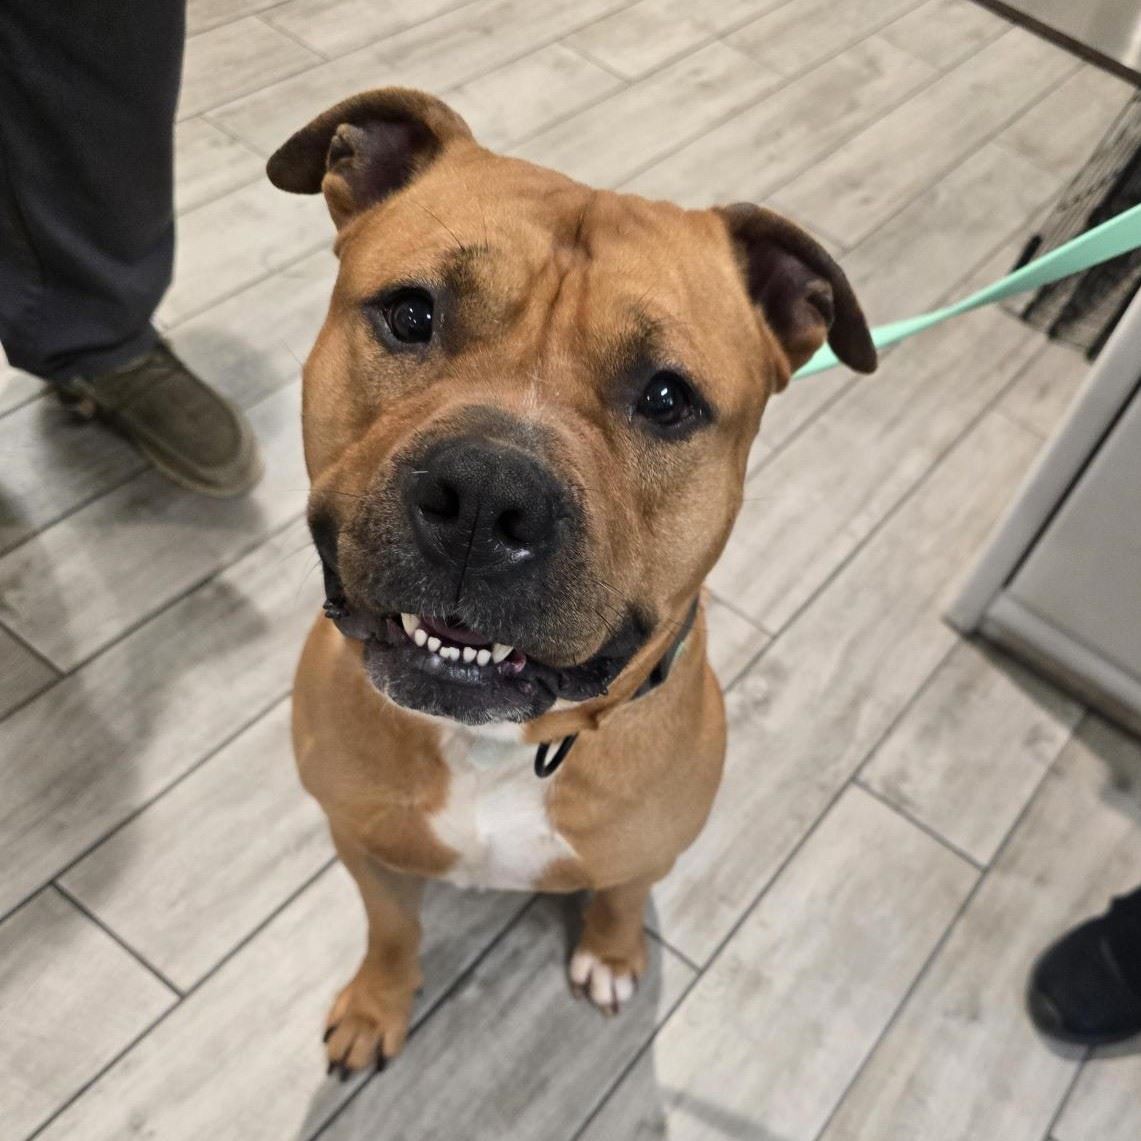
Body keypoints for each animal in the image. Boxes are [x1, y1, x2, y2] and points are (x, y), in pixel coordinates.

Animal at [267, 87, 876, 1075]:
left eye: (667, 398)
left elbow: (620, 895)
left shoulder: (648, 847)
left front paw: (611, 954)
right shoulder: (358, 840)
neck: (496, 743)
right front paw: (375, 1003)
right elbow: (392, 928)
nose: (486, 494)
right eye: (410, 314)